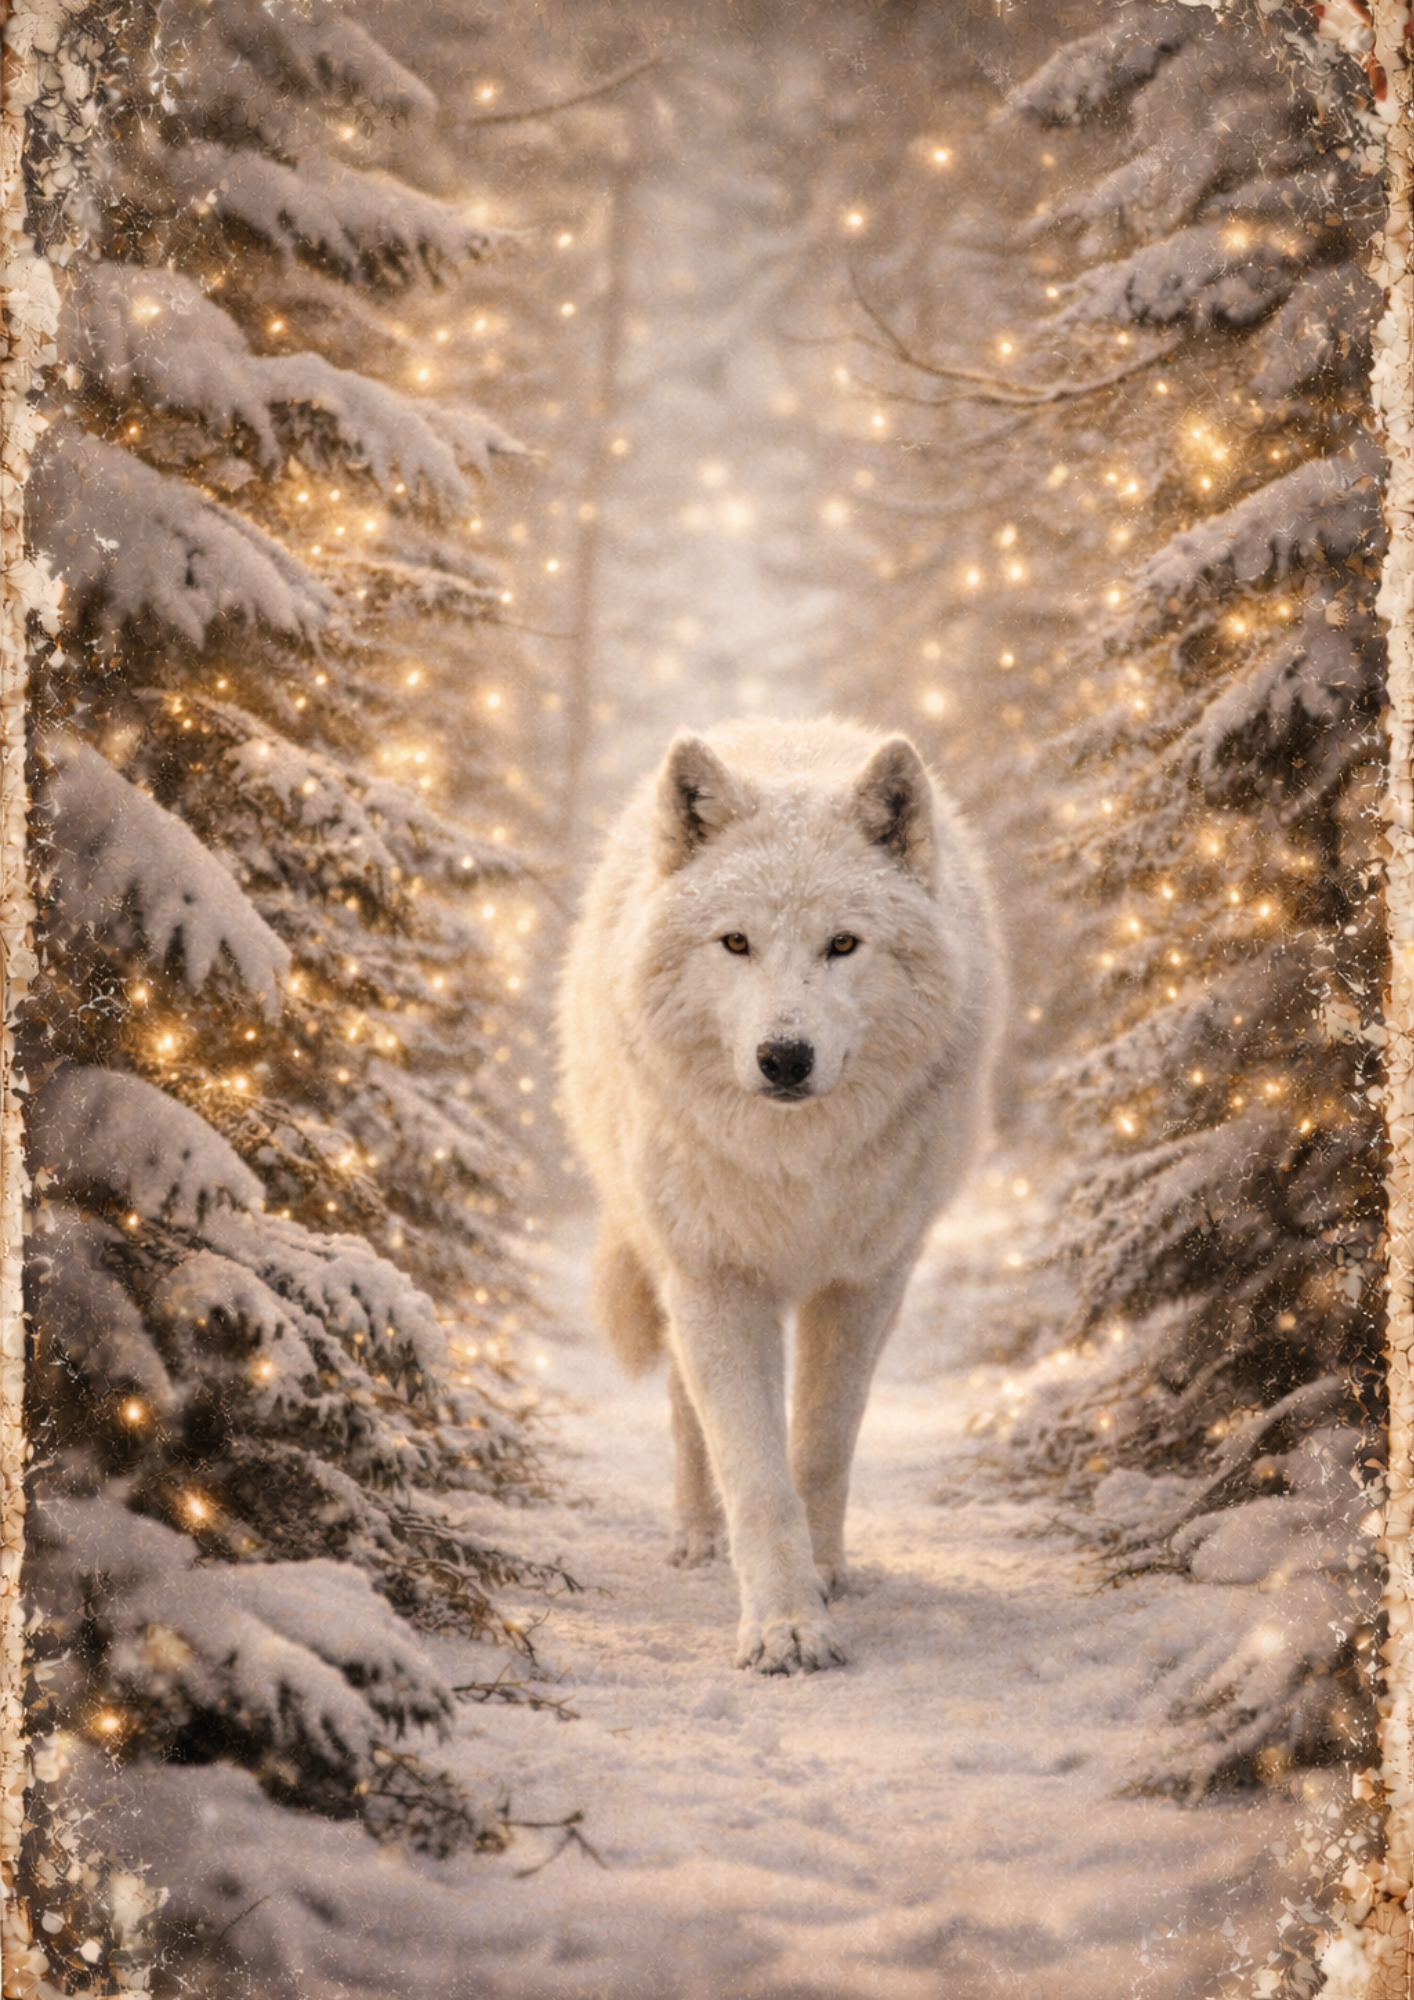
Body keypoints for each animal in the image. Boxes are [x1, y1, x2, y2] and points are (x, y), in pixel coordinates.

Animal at [558, 717, 1002, 1673]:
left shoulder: (869, 1279)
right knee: (685, 1414)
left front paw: (824, 1576)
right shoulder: (715, 1281)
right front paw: (785, 1626)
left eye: (843, 944)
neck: (797, 1164)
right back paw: (697, 1538)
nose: (785, 1057)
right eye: (735, 944)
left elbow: (824, 1444)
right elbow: (755, 1474)